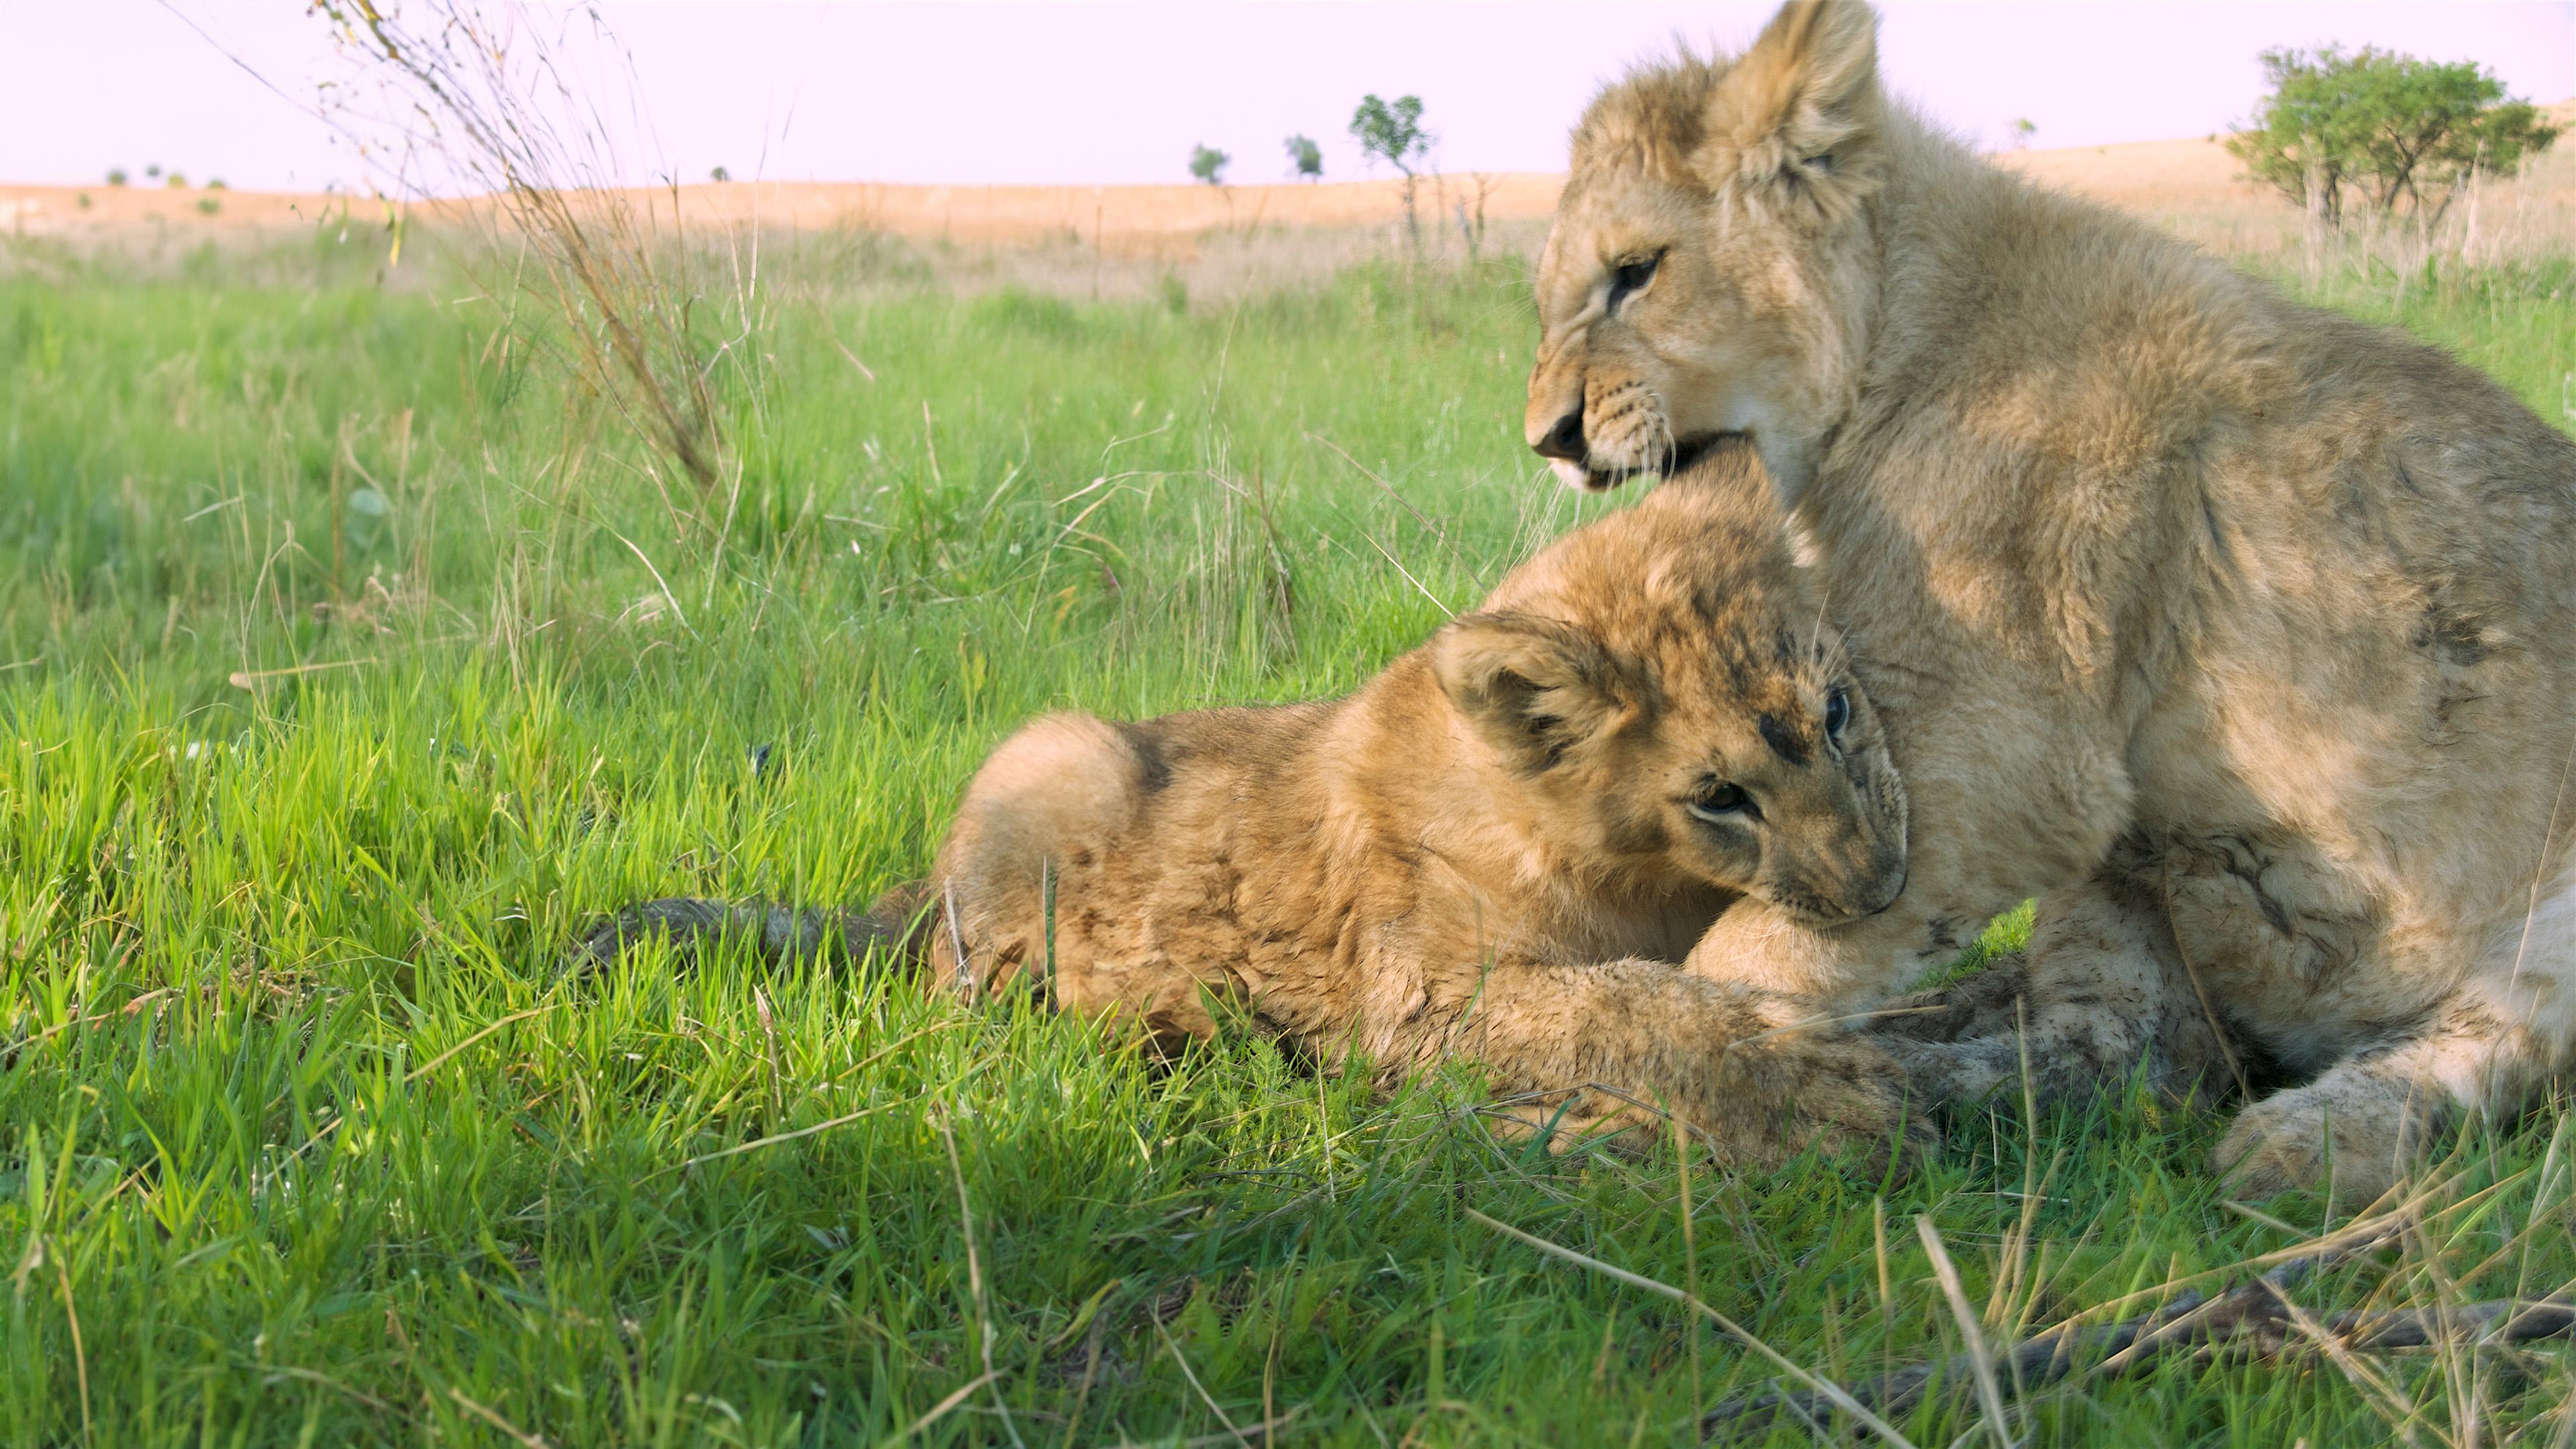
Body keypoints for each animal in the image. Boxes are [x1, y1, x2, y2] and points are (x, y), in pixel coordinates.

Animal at [578, 444, 1926, 1167]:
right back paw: (1177, 1021)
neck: (1636, 871)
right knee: (958, 999)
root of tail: (903, 893)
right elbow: (1625, 1009)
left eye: (1838, 713)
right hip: (1055, 756)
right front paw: (1827, 1090)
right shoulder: (1422, 998)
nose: (1882, 885)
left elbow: (1641, 997)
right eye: (1720, 795)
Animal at [1524, 0, 2576, 1201]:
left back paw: (2319, 1139)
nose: (1547, 438)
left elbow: (1750, 952)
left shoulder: (2003, 759)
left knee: (2483, 1051)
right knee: (2116, 1055)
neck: (1893, 339)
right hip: (2139, 876)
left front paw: (1689, 1102)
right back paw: (1916, 1078)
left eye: (1635, 271)